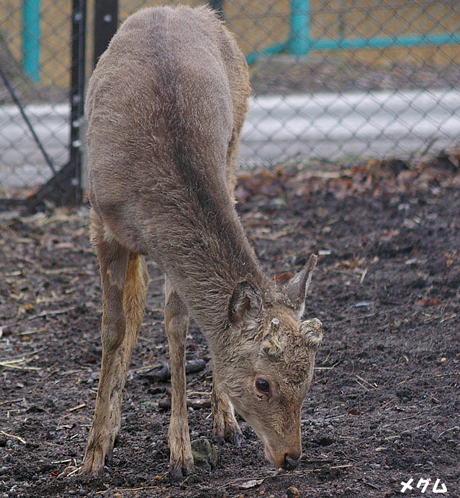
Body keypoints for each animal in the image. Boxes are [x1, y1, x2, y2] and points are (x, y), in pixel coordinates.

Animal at [81, 3, 322, 478]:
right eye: (263, 383)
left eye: (308, 381)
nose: (291, 456)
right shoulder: (102, 222)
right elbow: (114, 327)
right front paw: (92, 453)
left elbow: (177, 325)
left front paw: (181, 452)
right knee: (134, 306)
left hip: (234, 147)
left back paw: (224, 422)